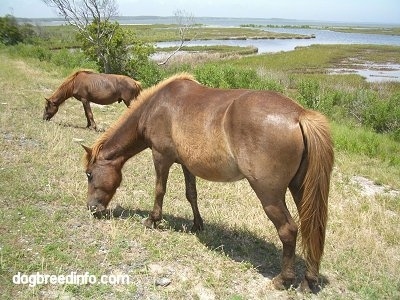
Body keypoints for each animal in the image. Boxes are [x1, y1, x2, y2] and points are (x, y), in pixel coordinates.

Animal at [82, 72, 334, 292]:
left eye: (89, 174)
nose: (92, 208)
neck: (157, 105)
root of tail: (299, 114)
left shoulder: (161, 157)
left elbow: (159, 190)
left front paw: (152, 220)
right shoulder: (187, 164)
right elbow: (191, 194)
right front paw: (197, 224)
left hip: (269, 195)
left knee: (288, 230)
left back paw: (283, 279)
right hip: (302, 191)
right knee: (313, 229)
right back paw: (308, 281)